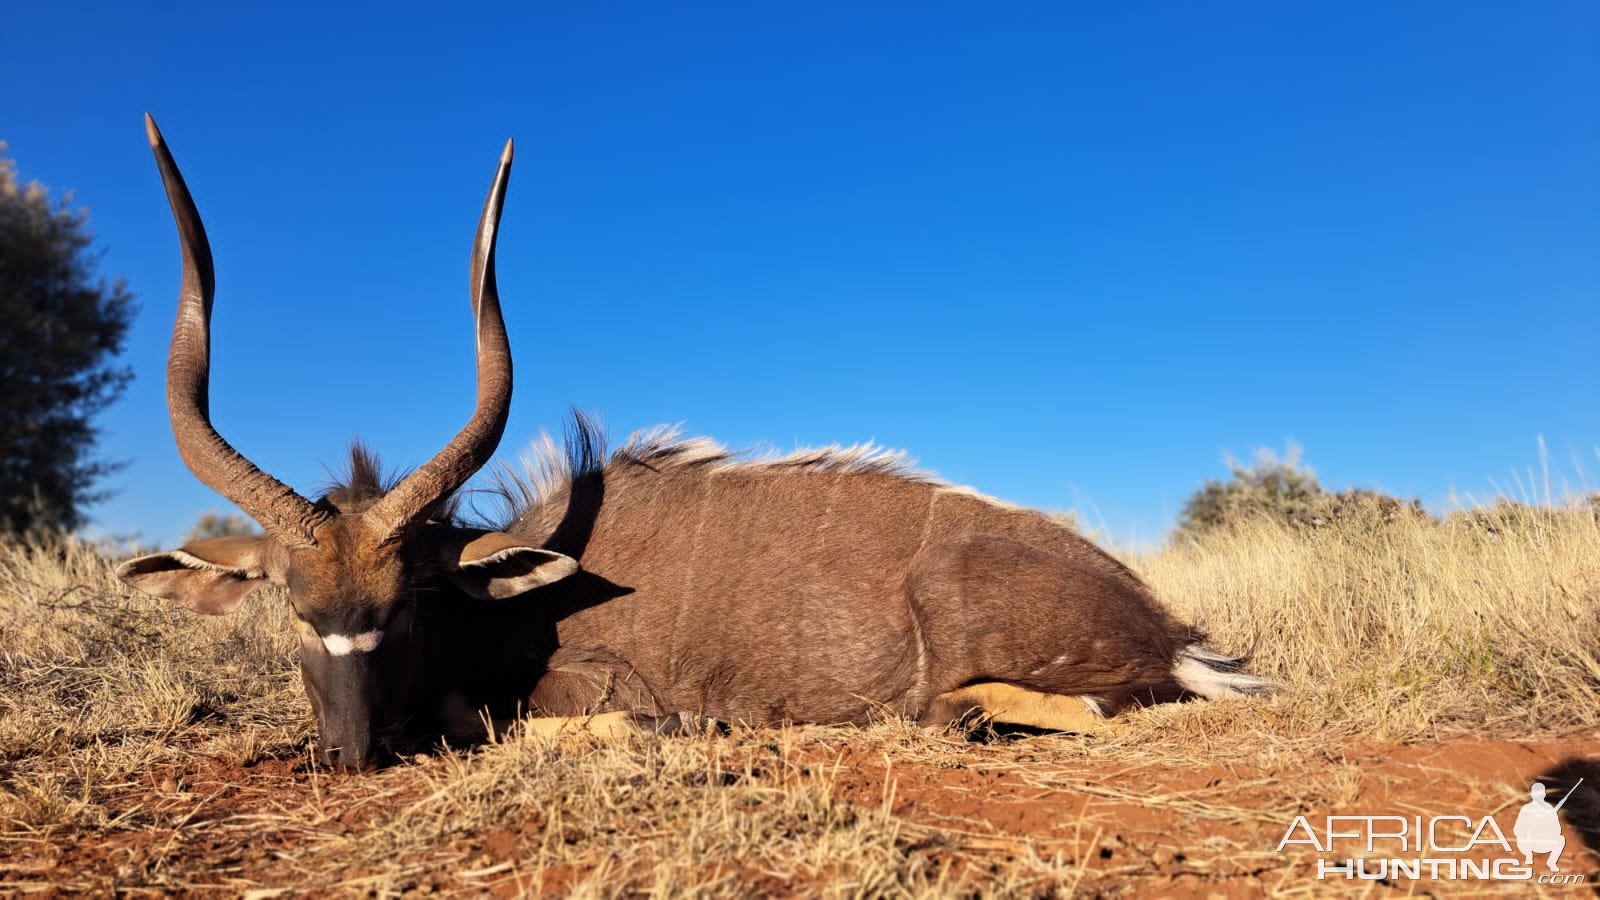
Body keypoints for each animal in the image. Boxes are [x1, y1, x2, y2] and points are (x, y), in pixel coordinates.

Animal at [121, 115, 1273, 768]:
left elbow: (506, 717)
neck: (501, 606)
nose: (350, 753)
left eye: (403, 603)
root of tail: (1169, 629)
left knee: (1043, 710)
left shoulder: (595, 685)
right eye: (293, 605)